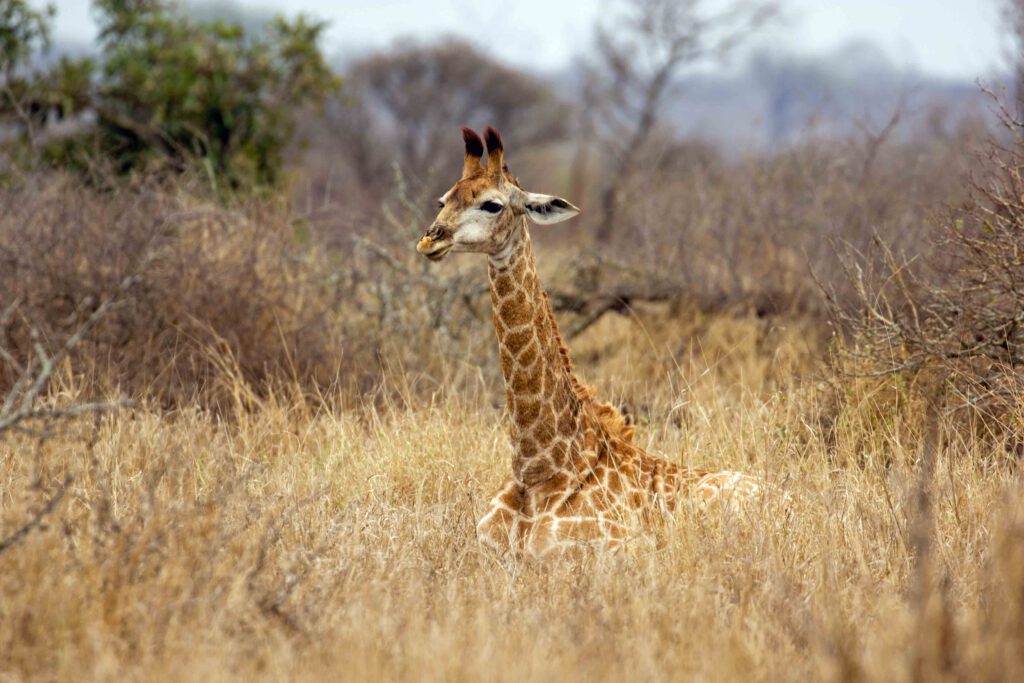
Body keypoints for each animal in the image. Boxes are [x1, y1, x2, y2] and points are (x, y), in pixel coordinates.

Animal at [415, 127, 774, 561]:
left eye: (492, 205)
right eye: (443, 200)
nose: (430, 240)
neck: (537, 466)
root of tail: (795, 499)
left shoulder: (610, 549)